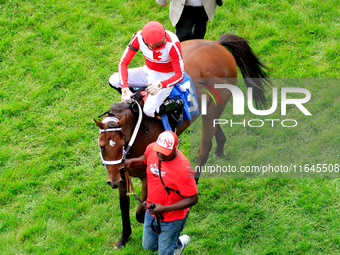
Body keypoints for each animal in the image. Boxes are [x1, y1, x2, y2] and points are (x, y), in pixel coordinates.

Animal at [94, 33, 270, 249]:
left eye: (119, 144)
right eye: (102, 146)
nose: (111, 182)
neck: (136, 132)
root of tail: (217, 44)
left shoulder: (146, 176)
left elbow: (139, 213)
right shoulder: (121, 174)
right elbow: (124, 206)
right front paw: (124, 237)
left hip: (213, 108)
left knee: (204, 148)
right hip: (208, 109)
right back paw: (220, 146)